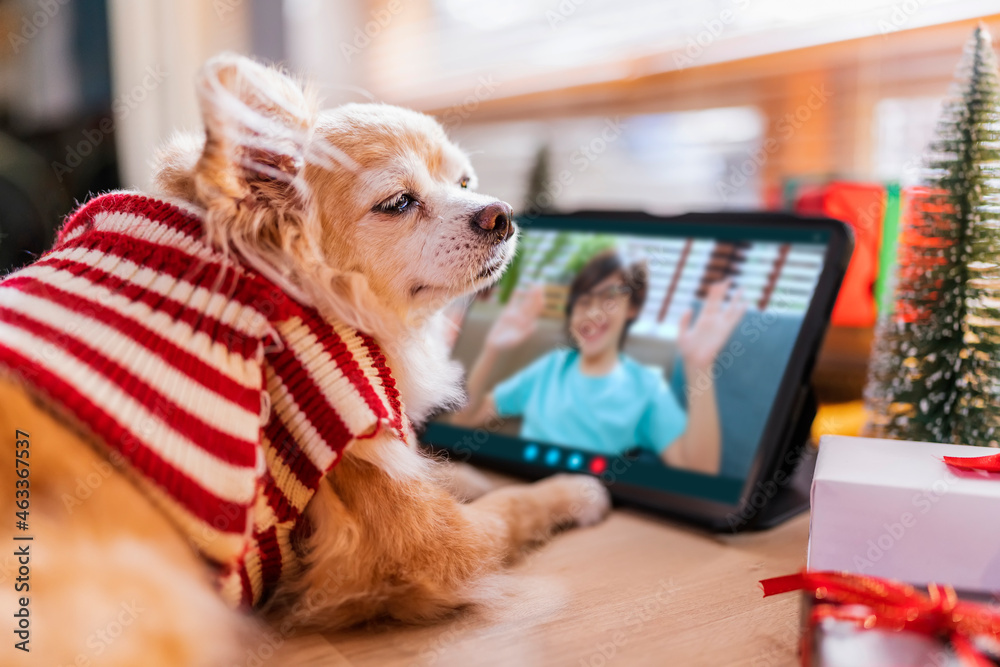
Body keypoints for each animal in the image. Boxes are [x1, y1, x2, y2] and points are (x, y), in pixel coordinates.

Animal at [0, 54, 608, 664]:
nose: (500, 214)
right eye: (399, 202)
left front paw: (468, 474)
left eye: (464, 184)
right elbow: (510, 510)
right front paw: (570, 489)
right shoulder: (423, 540)